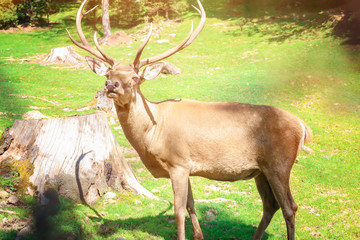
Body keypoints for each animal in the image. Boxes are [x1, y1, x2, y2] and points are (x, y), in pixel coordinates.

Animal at [67, 0, 312, 239]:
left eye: (135, 77)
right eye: (108, 74)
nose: (111, 85)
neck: (153, 133)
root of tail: (302, 126)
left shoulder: (178, 162)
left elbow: (178, 210)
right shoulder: (186, 167)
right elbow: (191, 205)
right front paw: (199, 236)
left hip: (279, 163)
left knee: (290, 207)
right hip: (261, 169)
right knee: (270, 205)